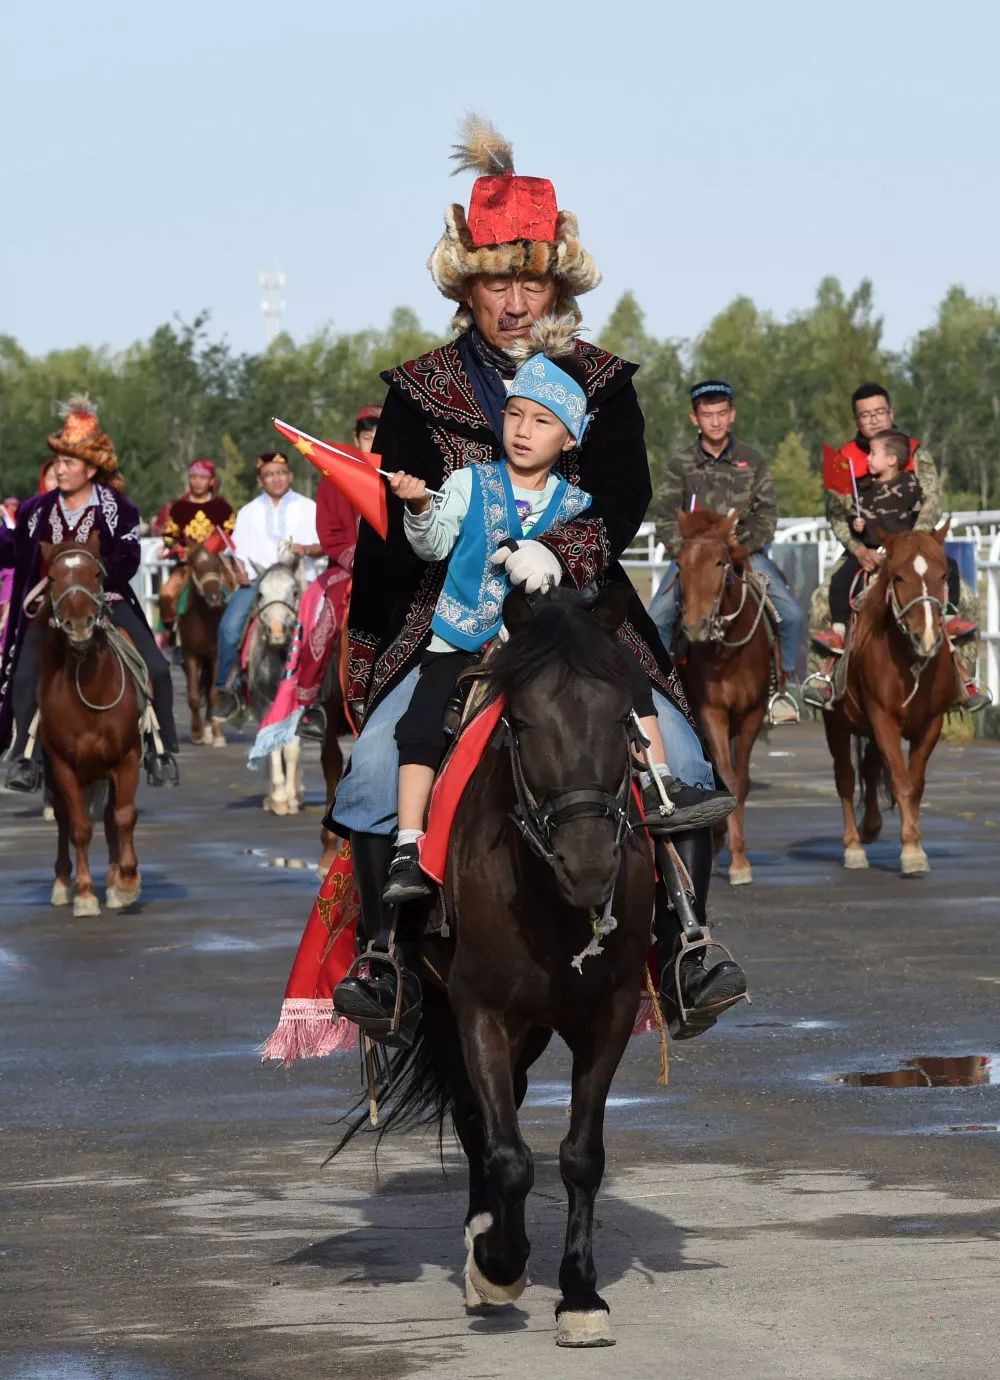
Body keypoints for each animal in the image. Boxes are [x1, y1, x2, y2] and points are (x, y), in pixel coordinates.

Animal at [37, 535, 142, 916]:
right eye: (51, 578)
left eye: (97, 573)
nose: (79, 626)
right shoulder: (63, 765)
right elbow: (79, 827)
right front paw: (83, 895)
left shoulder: (127, 758)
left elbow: (123, 817)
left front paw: (126, 883)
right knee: (65, 820)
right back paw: (61, 884)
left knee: (111, 818)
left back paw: (112, 882)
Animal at [176, 543, 231, 750]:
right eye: (196, 566)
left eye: (217, 564)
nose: (214, 597)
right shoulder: (190, 655)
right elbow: (193, 696)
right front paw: (197, 733)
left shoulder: (215, 656)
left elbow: (213, 694)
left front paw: (217, 735)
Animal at [339, 590, 659, 1346]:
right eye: (522, 722)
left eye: (621, 716)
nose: (589, 863)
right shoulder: (480, 1008)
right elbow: (507, 1152)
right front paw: (500, 1264)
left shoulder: (608, 1010)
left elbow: (581, 1154)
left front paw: (581, 1295)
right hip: (449, 1006)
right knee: (478, 1119)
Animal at [670, 507, 772, 883]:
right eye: (679, 563)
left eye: (719, 562)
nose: (695, 626)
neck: (728, 656)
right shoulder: (711, 712)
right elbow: (726, 778)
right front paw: (725, 848)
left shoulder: (751, 714)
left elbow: (740, 781)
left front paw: (740, 861)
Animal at [822, 521, 954, 877]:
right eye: (898, 577)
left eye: (944, 574)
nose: (927, 637)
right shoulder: (883, 719)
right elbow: (901, 781)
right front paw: (911, 852)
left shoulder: (931, 723)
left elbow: (915, 784)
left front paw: (914, 844)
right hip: (836, 723)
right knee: (845, 778)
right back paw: (854, 846)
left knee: (868, 769)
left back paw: (870, 827)